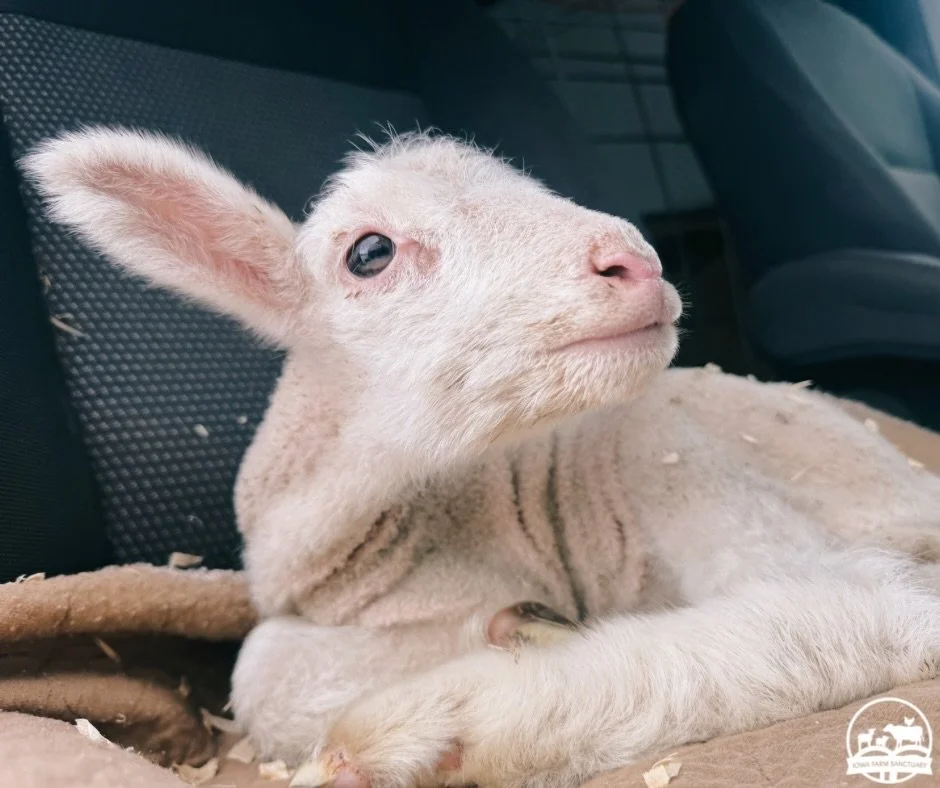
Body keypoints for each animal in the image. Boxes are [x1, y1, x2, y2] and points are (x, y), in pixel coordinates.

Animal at [22, 127, 940, 788]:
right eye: (369, 253)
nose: (635, 262)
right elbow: (269, 674)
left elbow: (266, 672)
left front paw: (487, 665)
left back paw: (458, 718)